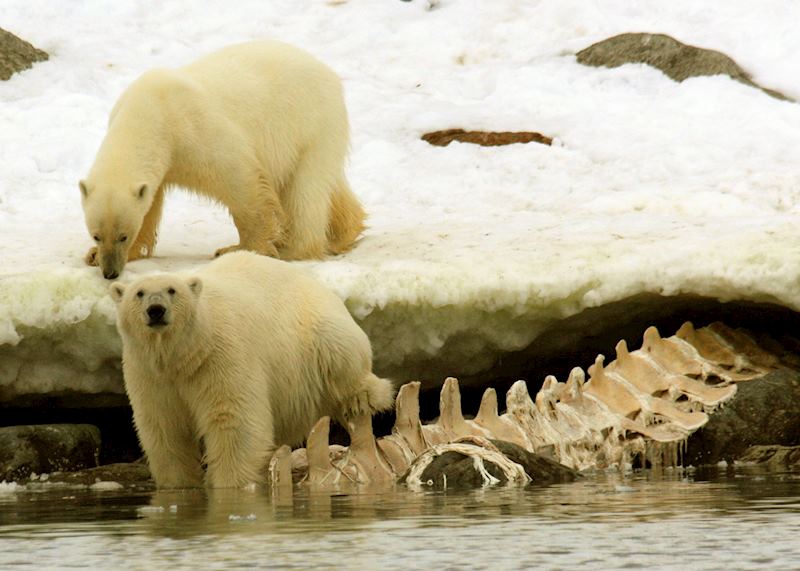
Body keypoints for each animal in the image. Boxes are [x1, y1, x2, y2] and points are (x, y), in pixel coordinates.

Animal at [81, 40, 365, 279]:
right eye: (96, 235)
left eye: (122, 236)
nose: (110, 272)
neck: (151, 112)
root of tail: (329, 74)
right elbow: (149, 203)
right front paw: (94, 256)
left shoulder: (193, 130)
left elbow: (240, 180)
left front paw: (244, 248)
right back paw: (344, 233)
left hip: (309, 123)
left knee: (305, 192)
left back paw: (292, 247)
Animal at [110, 251, 394, 488]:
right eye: (139, 293)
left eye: (172, 290)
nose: (156, 310)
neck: (184, 355)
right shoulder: (150, 374)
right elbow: (164, 429)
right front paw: (179, 484)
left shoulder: (220, 357)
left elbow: (234, 422)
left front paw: (229, 484)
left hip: (316, 334)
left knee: (342, 355)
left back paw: (362, 397)